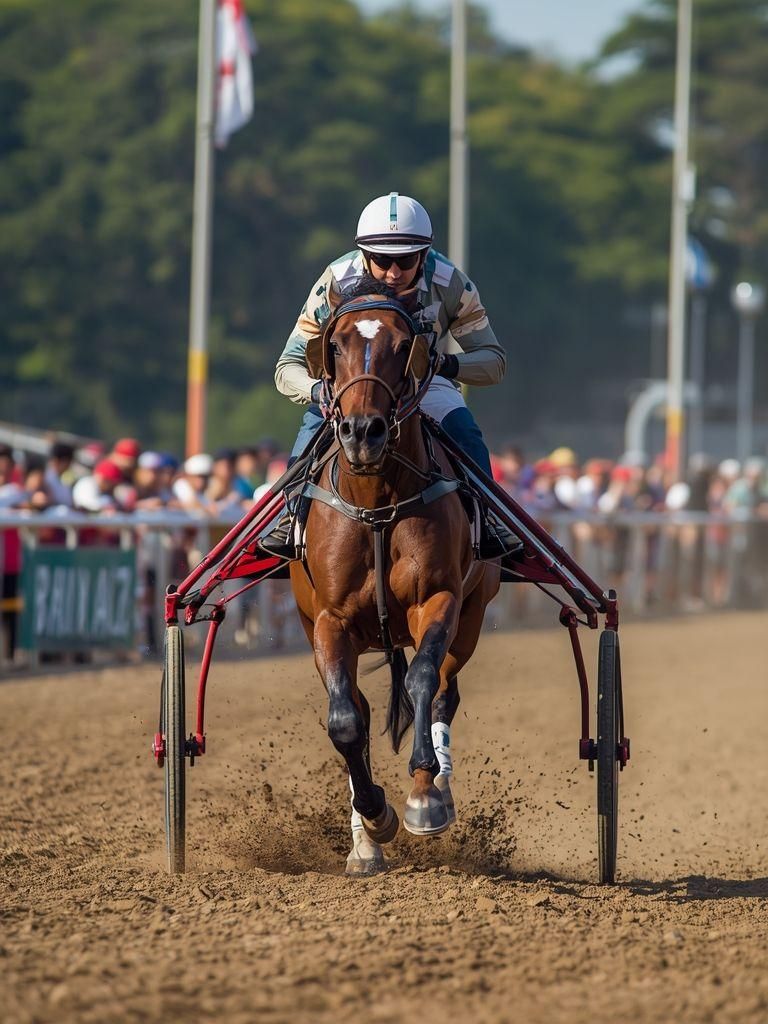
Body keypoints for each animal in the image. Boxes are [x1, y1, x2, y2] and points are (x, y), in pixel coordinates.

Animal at [289, 279, 501, 875]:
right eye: (334, 345)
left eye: (406, 345)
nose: (363, 431)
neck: (377, 506)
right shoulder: (330, 619)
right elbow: (344, 721)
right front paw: (373, 819)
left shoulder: (440, 598)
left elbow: (423, 680)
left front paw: (424, 798)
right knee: (357, 709)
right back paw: (365, 841)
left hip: (472, 615)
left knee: (445, 689)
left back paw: (435, 786)